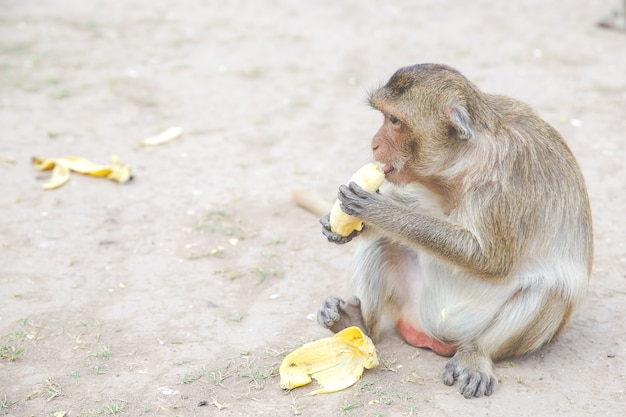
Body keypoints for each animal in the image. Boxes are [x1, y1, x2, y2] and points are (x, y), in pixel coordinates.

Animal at [316, 64, 588, 396]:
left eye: (393, 120)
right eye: (384, 116)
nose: (374, 144)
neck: (464, 160)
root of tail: (436, 337)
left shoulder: (508, 176)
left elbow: (491, 259)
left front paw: (379, 212)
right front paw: (341, 226)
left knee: (551, 290)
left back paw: (476, 355)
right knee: (384, 244)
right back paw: (355, 322)